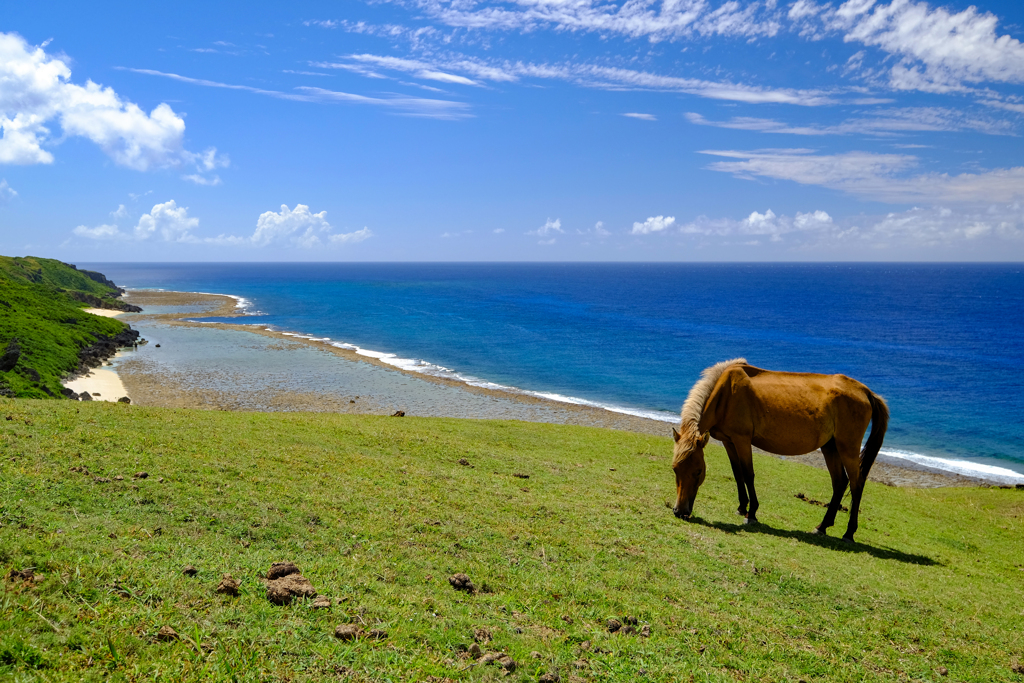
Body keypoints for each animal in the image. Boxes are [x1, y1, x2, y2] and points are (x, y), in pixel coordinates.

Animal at [671, 358, 888, 544]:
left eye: (698, 471)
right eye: (674, 469)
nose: (679, 511)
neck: (726, 393)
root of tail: (864, 391)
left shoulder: (742, 440)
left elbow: (748, 474)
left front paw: (752, 513)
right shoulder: (729, 441)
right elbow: (737, 474)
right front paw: (742, 507)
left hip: (847, 448)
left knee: (856, 484)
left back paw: (849, 533)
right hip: (831, 447)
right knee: (840, 483)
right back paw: (822, 526)